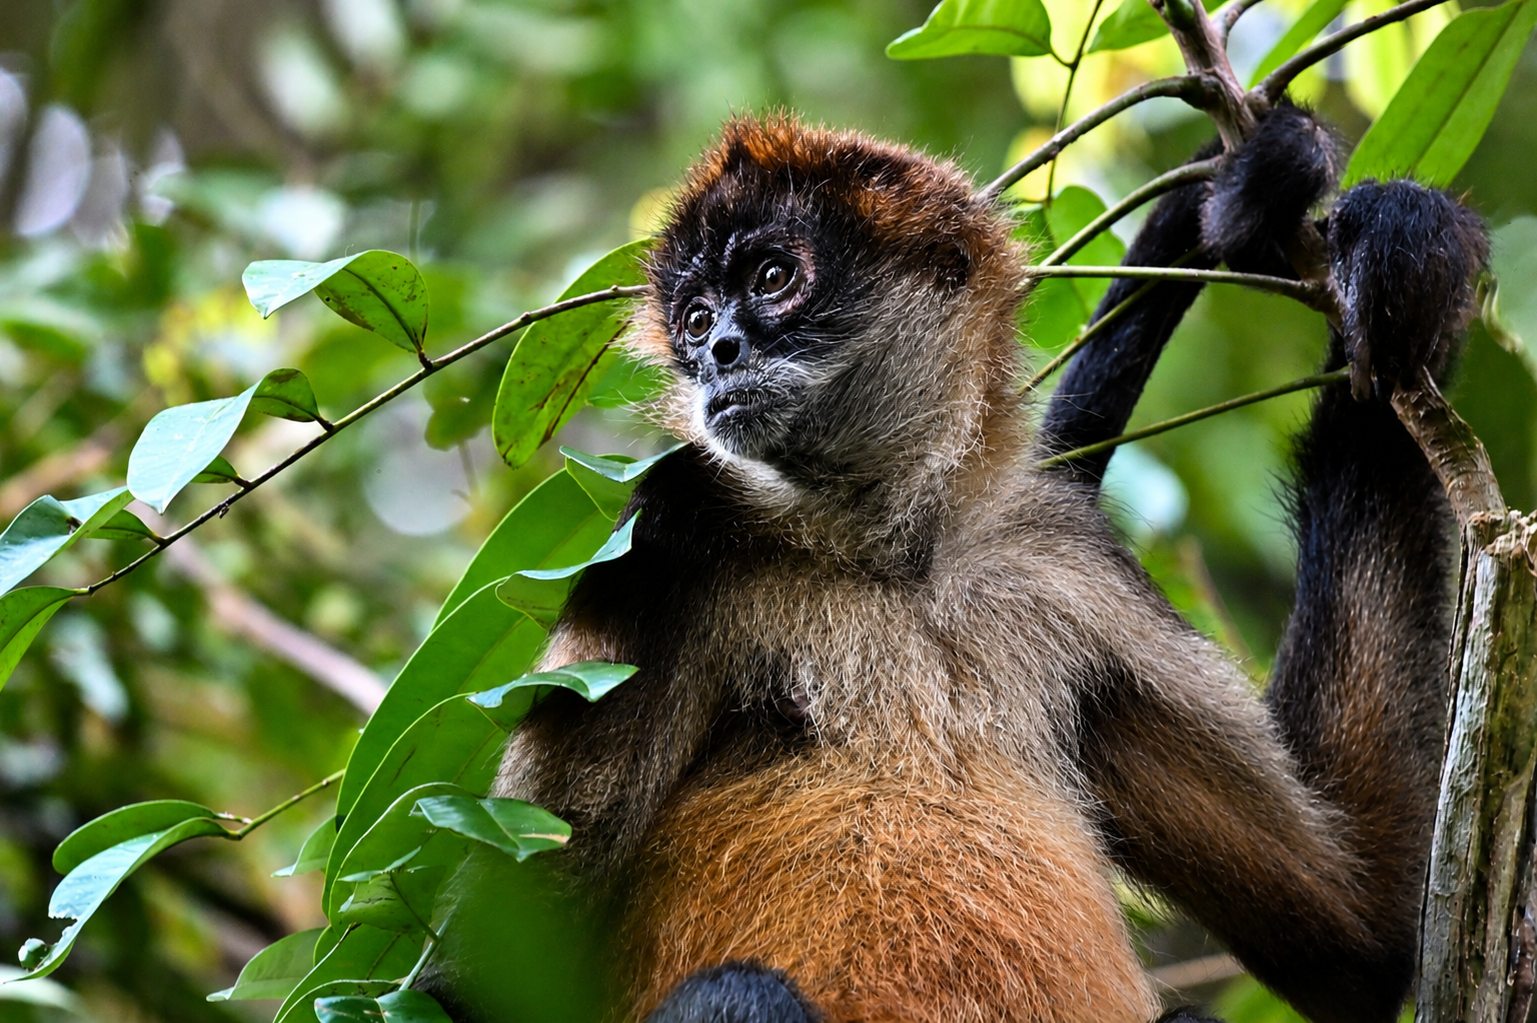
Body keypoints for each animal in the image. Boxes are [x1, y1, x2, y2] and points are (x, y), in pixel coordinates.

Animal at [423, 107, 1488, 1023]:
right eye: (692, 318)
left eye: (769, 278)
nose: (717, 350)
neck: (895, 553)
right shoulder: (662, 538)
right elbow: (474, 983)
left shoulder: (1060, 556)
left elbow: (1357, 941)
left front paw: (1400, 261)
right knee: (742, 993)